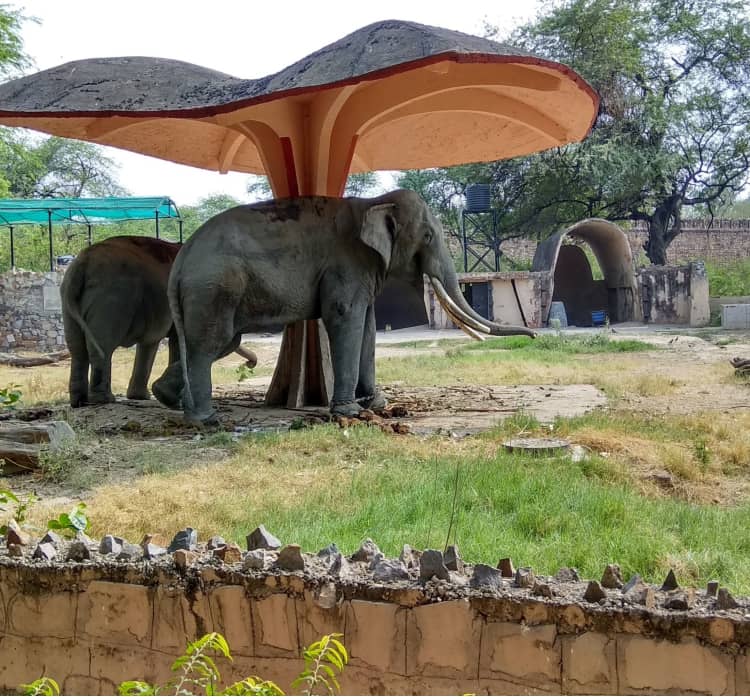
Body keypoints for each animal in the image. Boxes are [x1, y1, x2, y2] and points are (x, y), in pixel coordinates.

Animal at [60, 235, 258, 408]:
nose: (248, 365)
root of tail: (82, 264)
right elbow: (177, 341)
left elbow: (152, 342)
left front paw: (141, 397)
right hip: (111, 299)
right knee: (101, 347)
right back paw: (104, 400)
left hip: (69, 300)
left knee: (77, 349)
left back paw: (79, 402)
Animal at [151, 188, 536, 422]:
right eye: (427, 236)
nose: (533, 336)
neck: (374, 201)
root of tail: (181, 258)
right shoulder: (347, 264)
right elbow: (346, 317)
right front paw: (350, 412)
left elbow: (368, 324)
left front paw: (376, 404)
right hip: (214, 289)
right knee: (211, 343)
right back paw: (205, 418)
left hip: (206, 294)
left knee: (219, 342)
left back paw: (168, 399)